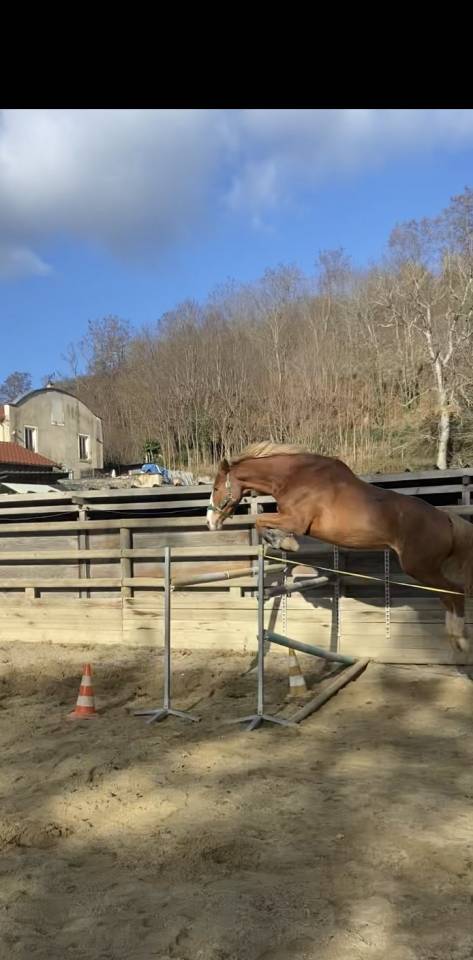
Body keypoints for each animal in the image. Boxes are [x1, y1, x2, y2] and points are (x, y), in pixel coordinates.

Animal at [207, 442, 473, 654]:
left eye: (216, 488)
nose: (210, 522)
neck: (295, 477)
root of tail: (446, 518)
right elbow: (263, 523)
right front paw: (283, 541)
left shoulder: (296, 520)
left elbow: (261, 521)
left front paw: (285, 542)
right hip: (424, 570)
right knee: (447, 595)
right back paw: (454, 637)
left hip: (420, 567)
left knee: (455, 591)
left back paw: (460, 638)